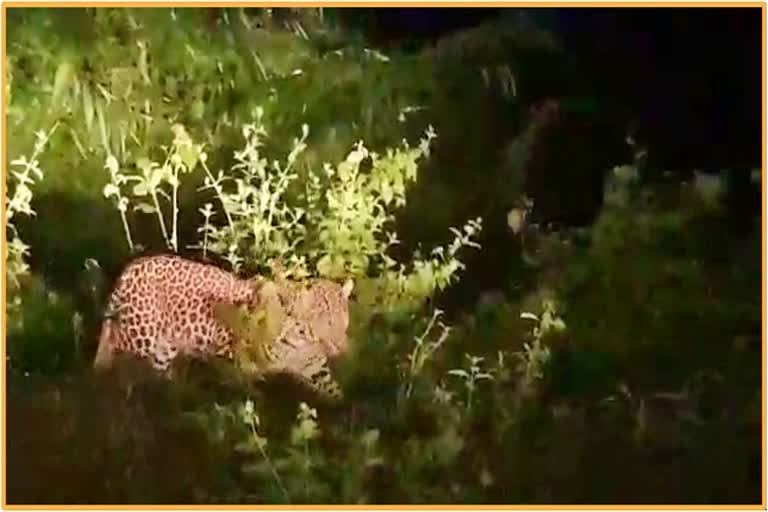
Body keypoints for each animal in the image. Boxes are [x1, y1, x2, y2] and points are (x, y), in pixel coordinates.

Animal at [93, 252, 354, 392]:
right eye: (325, 323)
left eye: (344, 322)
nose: (342, 348)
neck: (301, 344)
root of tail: (131, 267)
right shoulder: (235, 356)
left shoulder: (317, 371)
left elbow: (336, 395)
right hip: (140, 335)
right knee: (114, 345)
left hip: (164, 347)